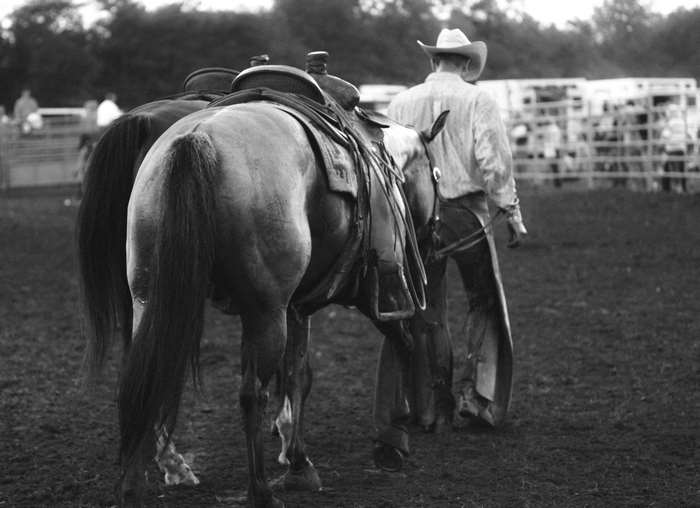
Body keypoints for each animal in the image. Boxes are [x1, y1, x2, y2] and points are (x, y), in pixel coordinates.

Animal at [101, 97, 447, 506]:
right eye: (437, 176)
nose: (435, 236)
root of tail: (195, 140)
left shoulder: (295, 307)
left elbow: (298, 375)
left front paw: (298, 463)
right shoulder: (379, 290)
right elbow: (401, 342)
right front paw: (393, 436)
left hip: (152, 301)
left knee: (143, 379)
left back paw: (134, 486)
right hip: (266, 314)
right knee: (251, 393)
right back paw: (260, 491)